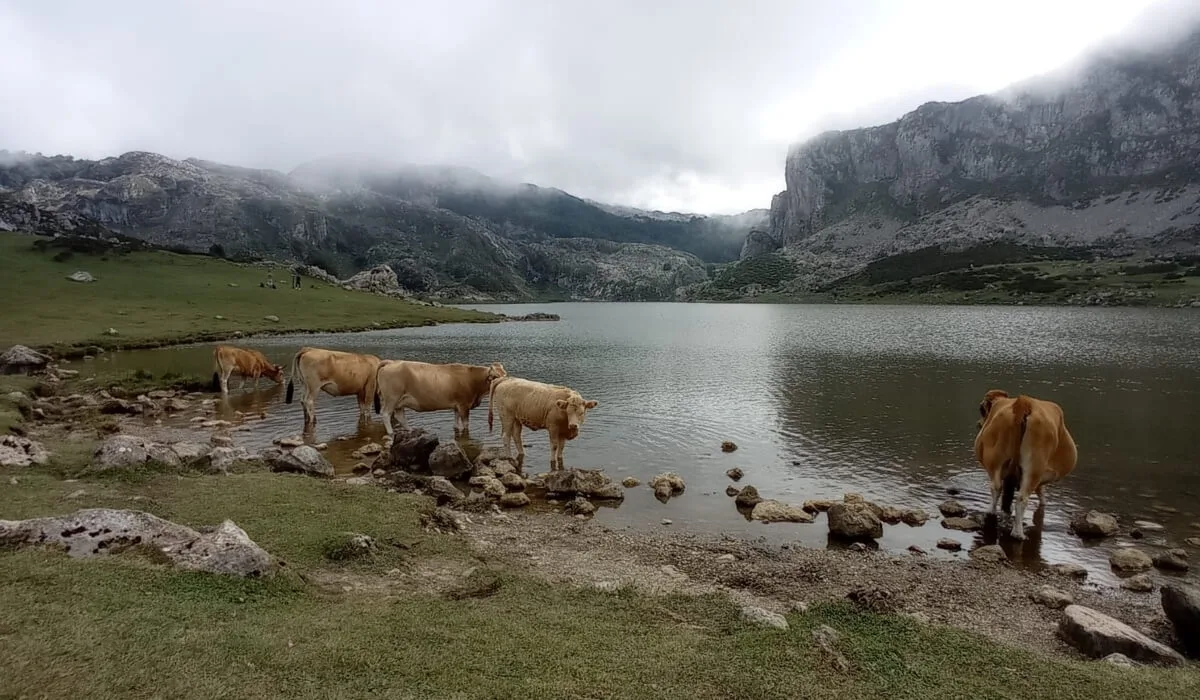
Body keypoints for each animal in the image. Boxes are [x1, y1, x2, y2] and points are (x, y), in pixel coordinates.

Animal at [373, 360, 506, 436]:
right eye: (495, 376)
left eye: (505, 374)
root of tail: (391, 362)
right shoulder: (464, 405)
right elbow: (466, 424)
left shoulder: (457, 405)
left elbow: (455, 421)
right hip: (392, 398)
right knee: (386, 414)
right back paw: (391, 433)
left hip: (400, 401)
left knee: (400, 416)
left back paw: (410, 430)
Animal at [974, 389, 1078, 540]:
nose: (979, 423)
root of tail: (1025, 402)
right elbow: (1041, 492)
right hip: (1035, 466)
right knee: (1021, 497)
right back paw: (1018, 534)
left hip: (996, 459)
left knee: (997, 487)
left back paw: (992, 513)